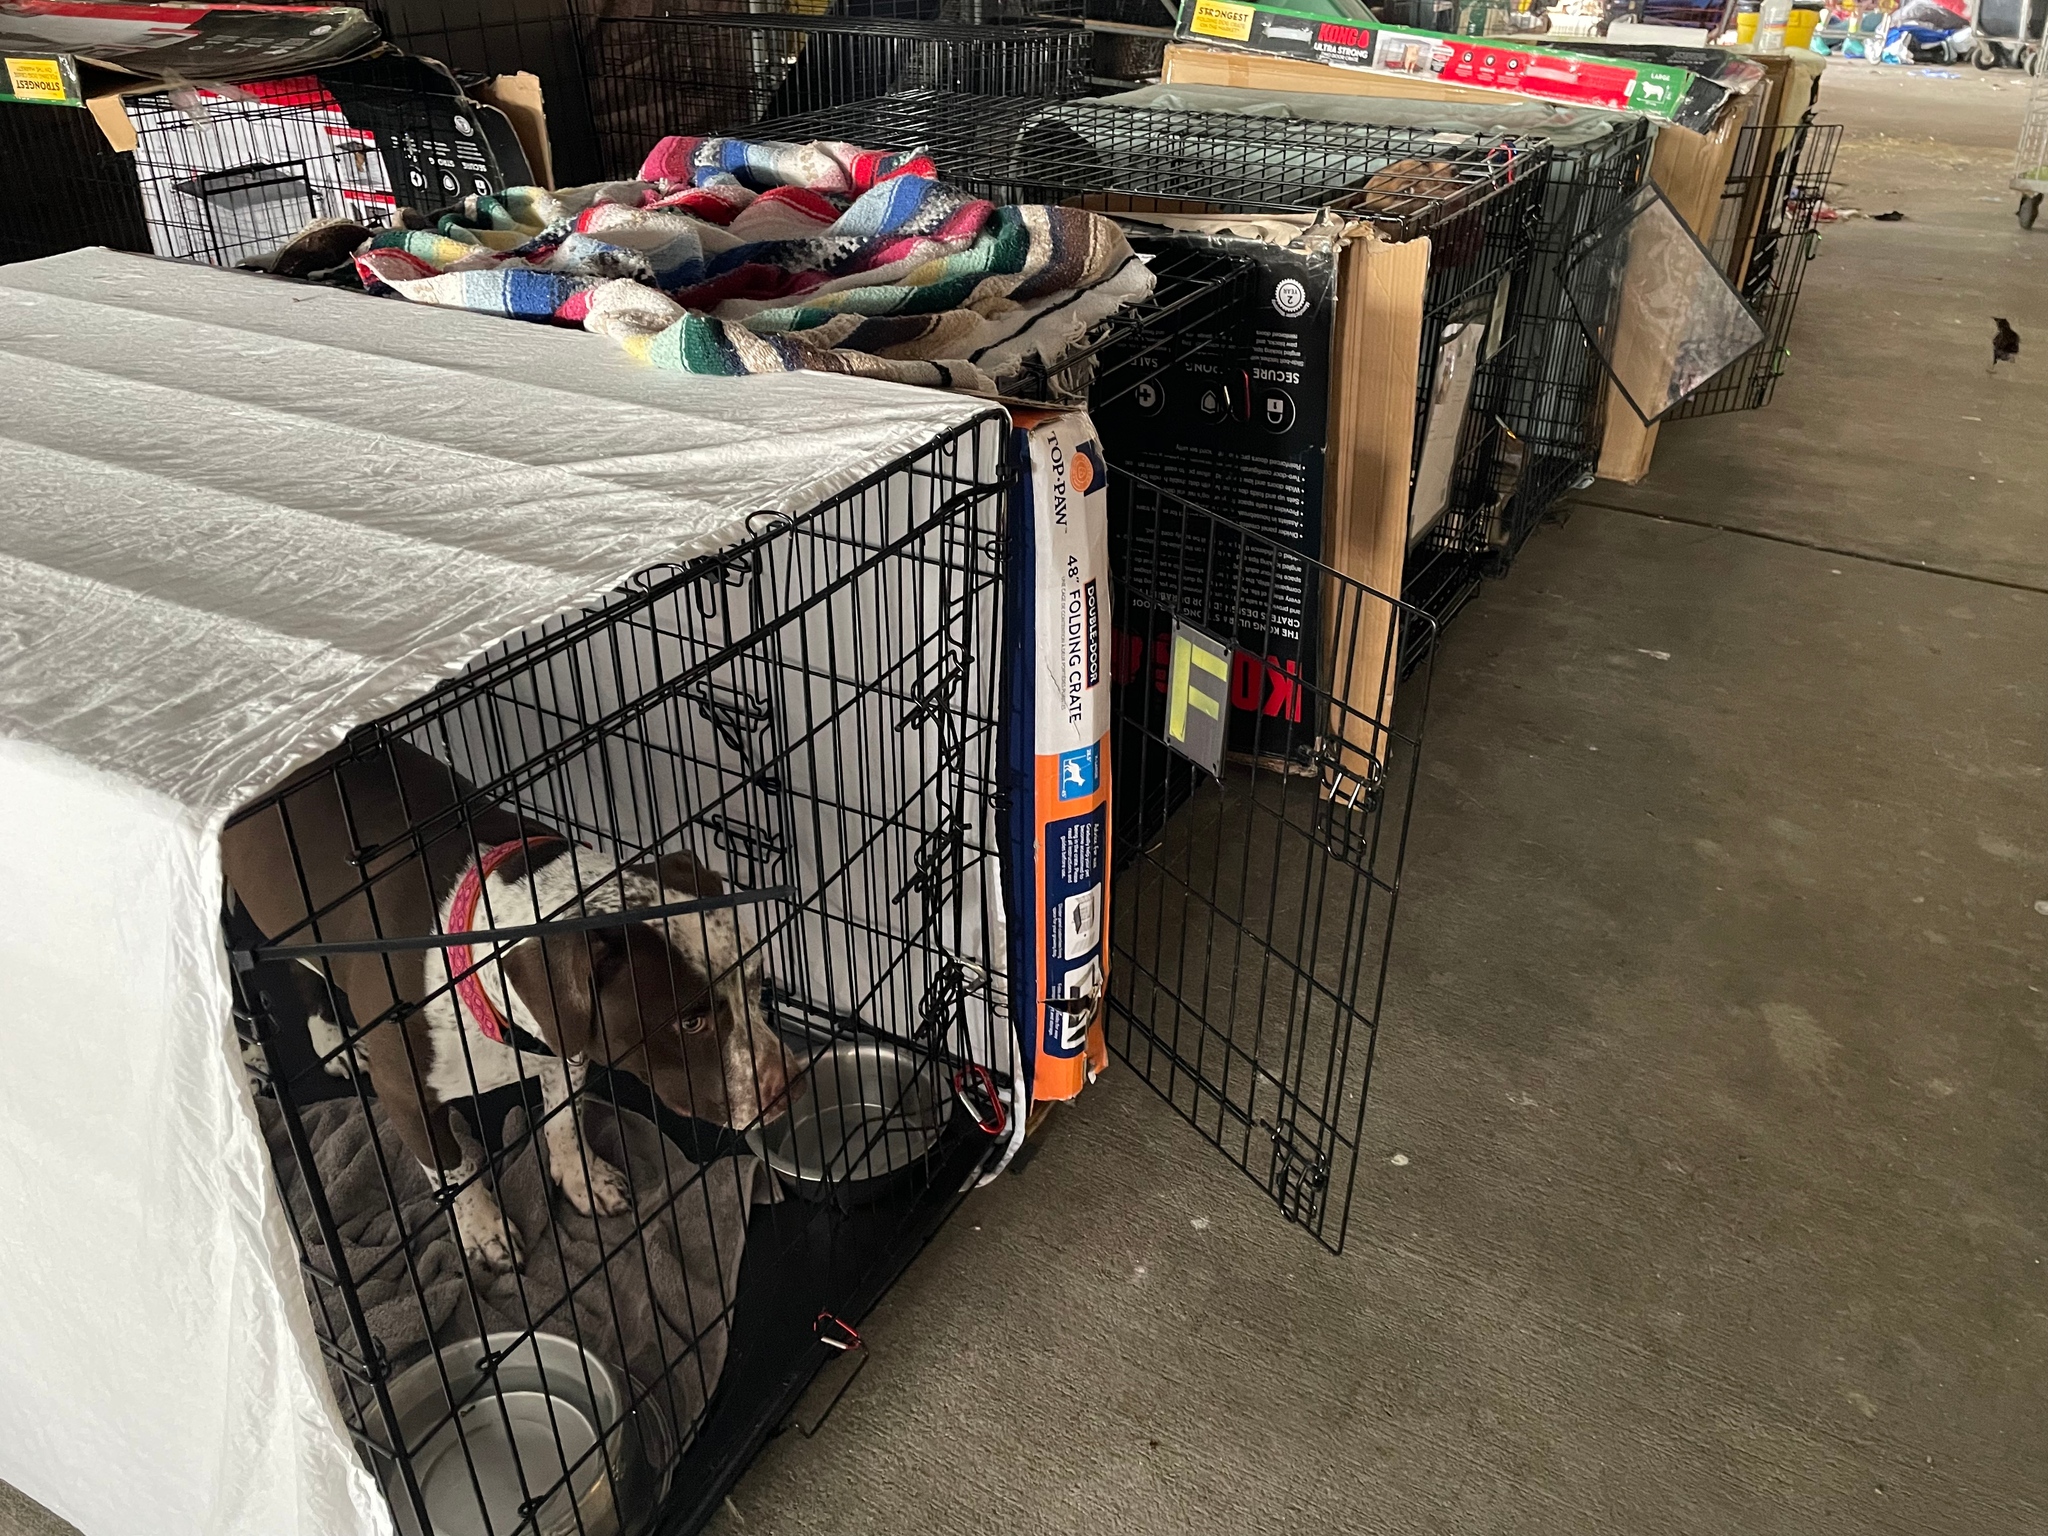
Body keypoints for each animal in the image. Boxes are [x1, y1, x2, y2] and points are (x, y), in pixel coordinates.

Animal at [226, 741, 790, 1277]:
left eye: (757, 981)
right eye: (690, 1021)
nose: (789, 1080)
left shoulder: (564, 1046)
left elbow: (565, 1118)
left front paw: (584, 1177)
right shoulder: (405, 1093)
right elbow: (453, 1173)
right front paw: (484, 1230)